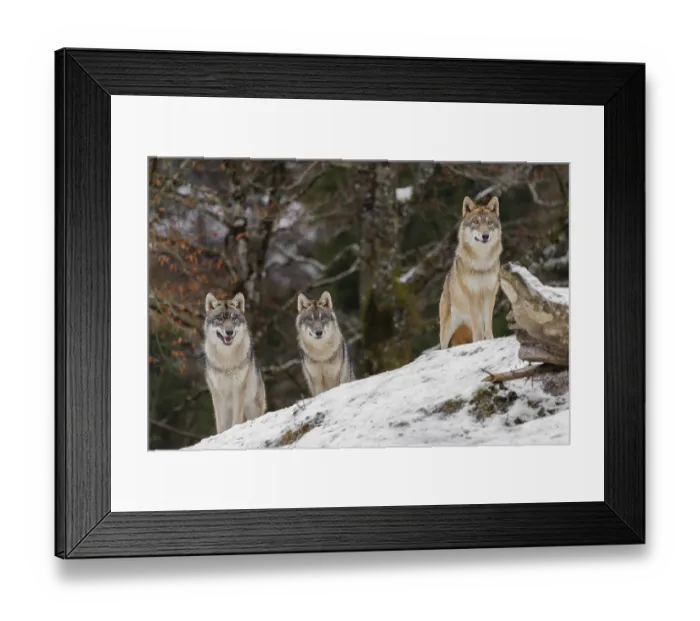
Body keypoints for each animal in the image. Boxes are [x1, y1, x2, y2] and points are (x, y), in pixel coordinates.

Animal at [203, 292, 266, 433]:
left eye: (234, 318)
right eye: (220, 319)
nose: (229, 332)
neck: (227, 360)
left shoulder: (239, 389)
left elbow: (237, 419)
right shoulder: (217, 393)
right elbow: (220, 424)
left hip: (253, 407)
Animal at [439, 195, 503, 349]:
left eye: (489, 223)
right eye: (476, 222)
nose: (485, 236)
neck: (481, 262)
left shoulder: (489, 294)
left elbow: (488, 326)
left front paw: (490, 341)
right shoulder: (472, 295)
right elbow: (478, 331)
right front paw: (480, 342)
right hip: (447, 328)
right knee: (443, 345)